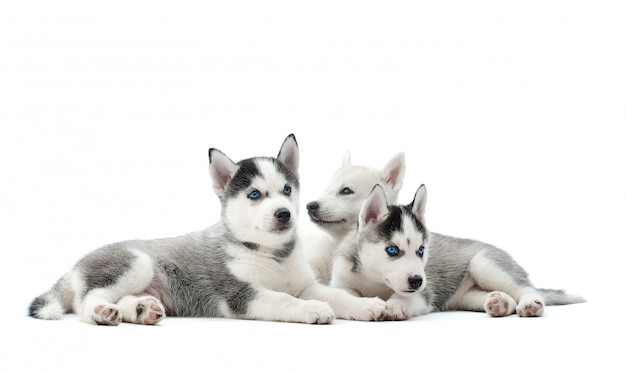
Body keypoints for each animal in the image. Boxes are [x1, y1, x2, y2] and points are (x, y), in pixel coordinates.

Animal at [29, 134, 386, 326]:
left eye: (286, 190)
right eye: (254, 195)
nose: (284, 214)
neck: (272, 253)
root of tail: (74, 266)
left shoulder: (305, 284)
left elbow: (337, 295)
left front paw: (367, 305)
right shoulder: (239, 295)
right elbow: (283, 300)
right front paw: (312, 309)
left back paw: (141, 309)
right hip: (136, 263)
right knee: (88, 300)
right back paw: (102, 312)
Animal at [330, 185, 584, 318]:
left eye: (421, 250)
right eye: (392, 249)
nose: (416, 280)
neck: (374, 280)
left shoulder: (426, 292)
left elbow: (407, 297)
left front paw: (396, 304)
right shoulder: (342, 282)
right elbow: (344, 296)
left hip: (484, 263)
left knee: (527, 289)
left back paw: (531, 304)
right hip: (465, 297)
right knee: (507, 298)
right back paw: (500, 303)